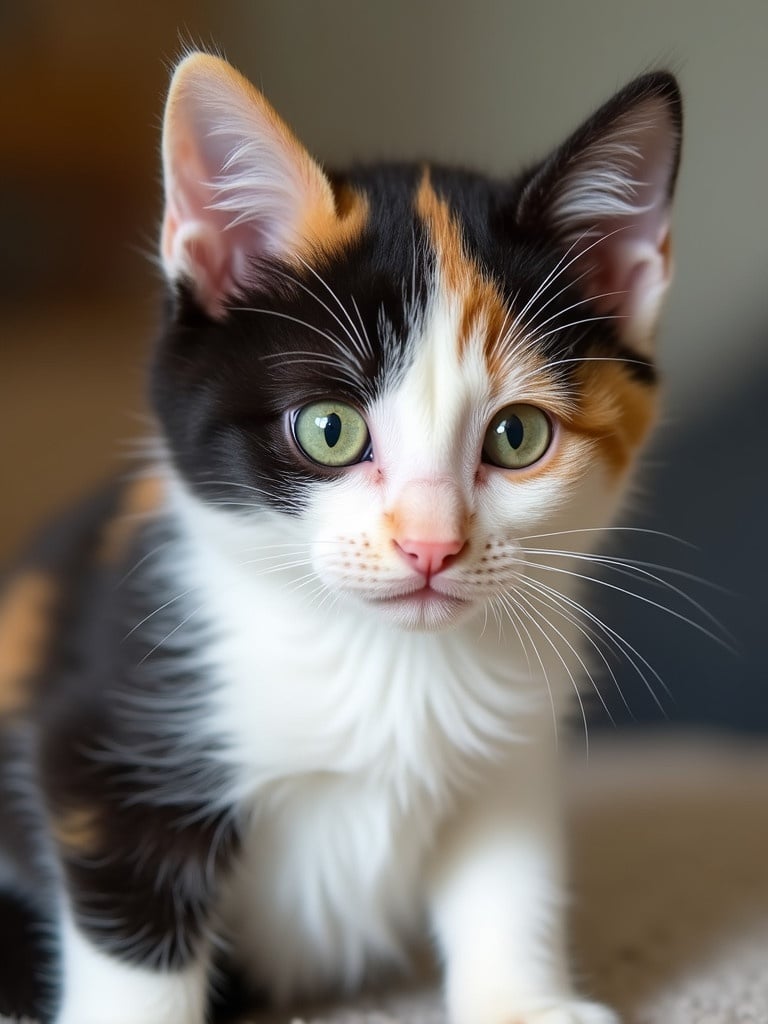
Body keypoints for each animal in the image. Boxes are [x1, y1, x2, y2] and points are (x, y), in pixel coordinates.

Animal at [0, 54, 684, 1024]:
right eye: (329, 430)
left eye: (518, 436)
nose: (431, 546)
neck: (384, 667)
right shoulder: (108, 742)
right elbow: (136, 945)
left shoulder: (512, 755)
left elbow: (508, 882)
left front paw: (522, 999)